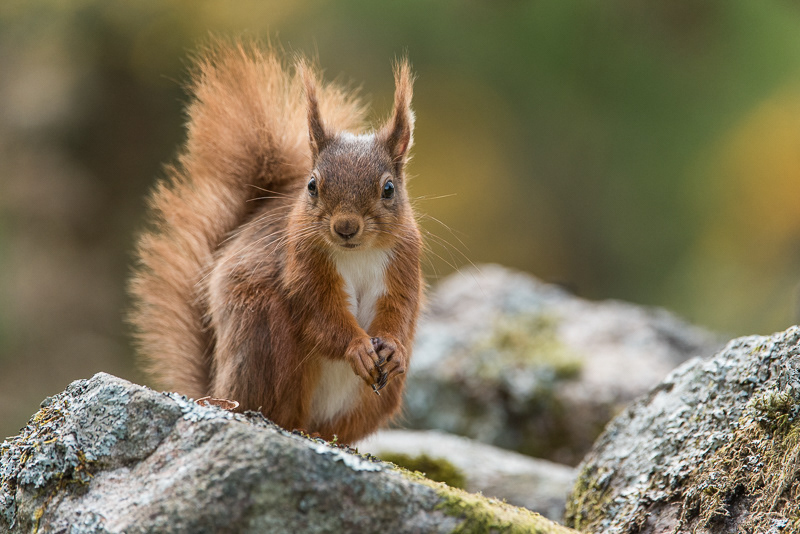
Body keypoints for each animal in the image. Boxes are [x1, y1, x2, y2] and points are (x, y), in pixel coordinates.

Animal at [129, 41, 423, 444]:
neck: (358, 254)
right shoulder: (300, 266)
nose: (346, 227)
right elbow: (319, 315)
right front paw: (356, 347)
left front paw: (392, 347)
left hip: (376, 399)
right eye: (312, 185)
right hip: (266, 341)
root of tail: (216, 389)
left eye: (389, 189)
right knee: (276, 409)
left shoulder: (403, 262)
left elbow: (400, 309)